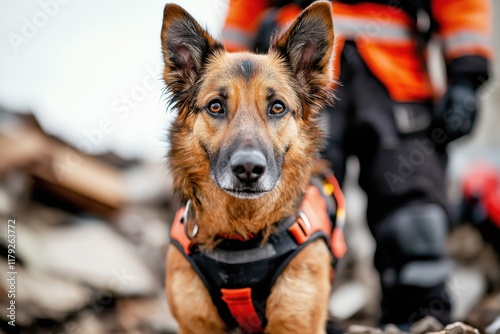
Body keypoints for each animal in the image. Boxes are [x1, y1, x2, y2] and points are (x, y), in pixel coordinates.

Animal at [162, 1, 336, 332]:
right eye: (216, 106)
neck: (240, 238)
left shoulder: (295, 321)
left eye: (277, 107)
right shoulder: (198, 323)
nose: (248, 169)